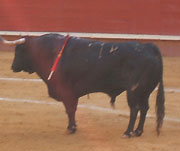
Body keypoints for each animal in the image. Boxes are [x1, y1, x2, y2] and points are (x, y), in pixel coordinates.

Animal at [0, 34, 165, 138]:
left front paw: (70, 129)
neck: (49, 52)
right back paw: (138, 132)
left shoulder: (66, 92)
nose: (13, 66)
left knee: (135, 109)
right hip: (145, 91)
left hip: (134, 91)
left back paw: (128, 132)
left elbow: (69, 110)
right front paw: (73, 128)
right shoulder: (72, 94)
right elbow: (72, 110)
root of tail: (149, 47)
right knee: (144, 108)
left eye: (19, 51)